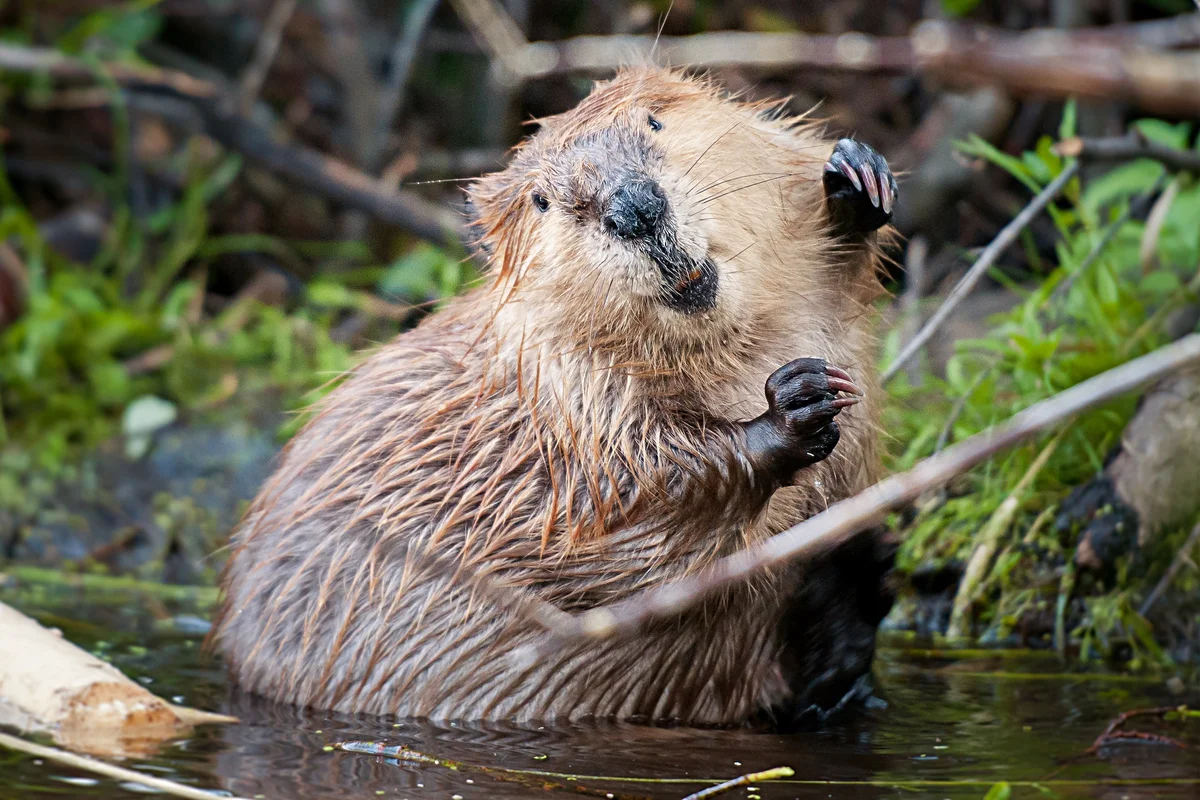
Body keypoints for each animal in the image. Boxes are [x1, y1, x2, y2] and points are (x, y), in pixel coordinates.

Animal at [211, 68, 897, 729]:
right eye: (542, 200)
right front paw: (795, 405)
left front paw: (856, 179)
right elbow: (623, 533)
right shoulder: (563, 408)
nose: (634, 208)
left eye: (654, 120)